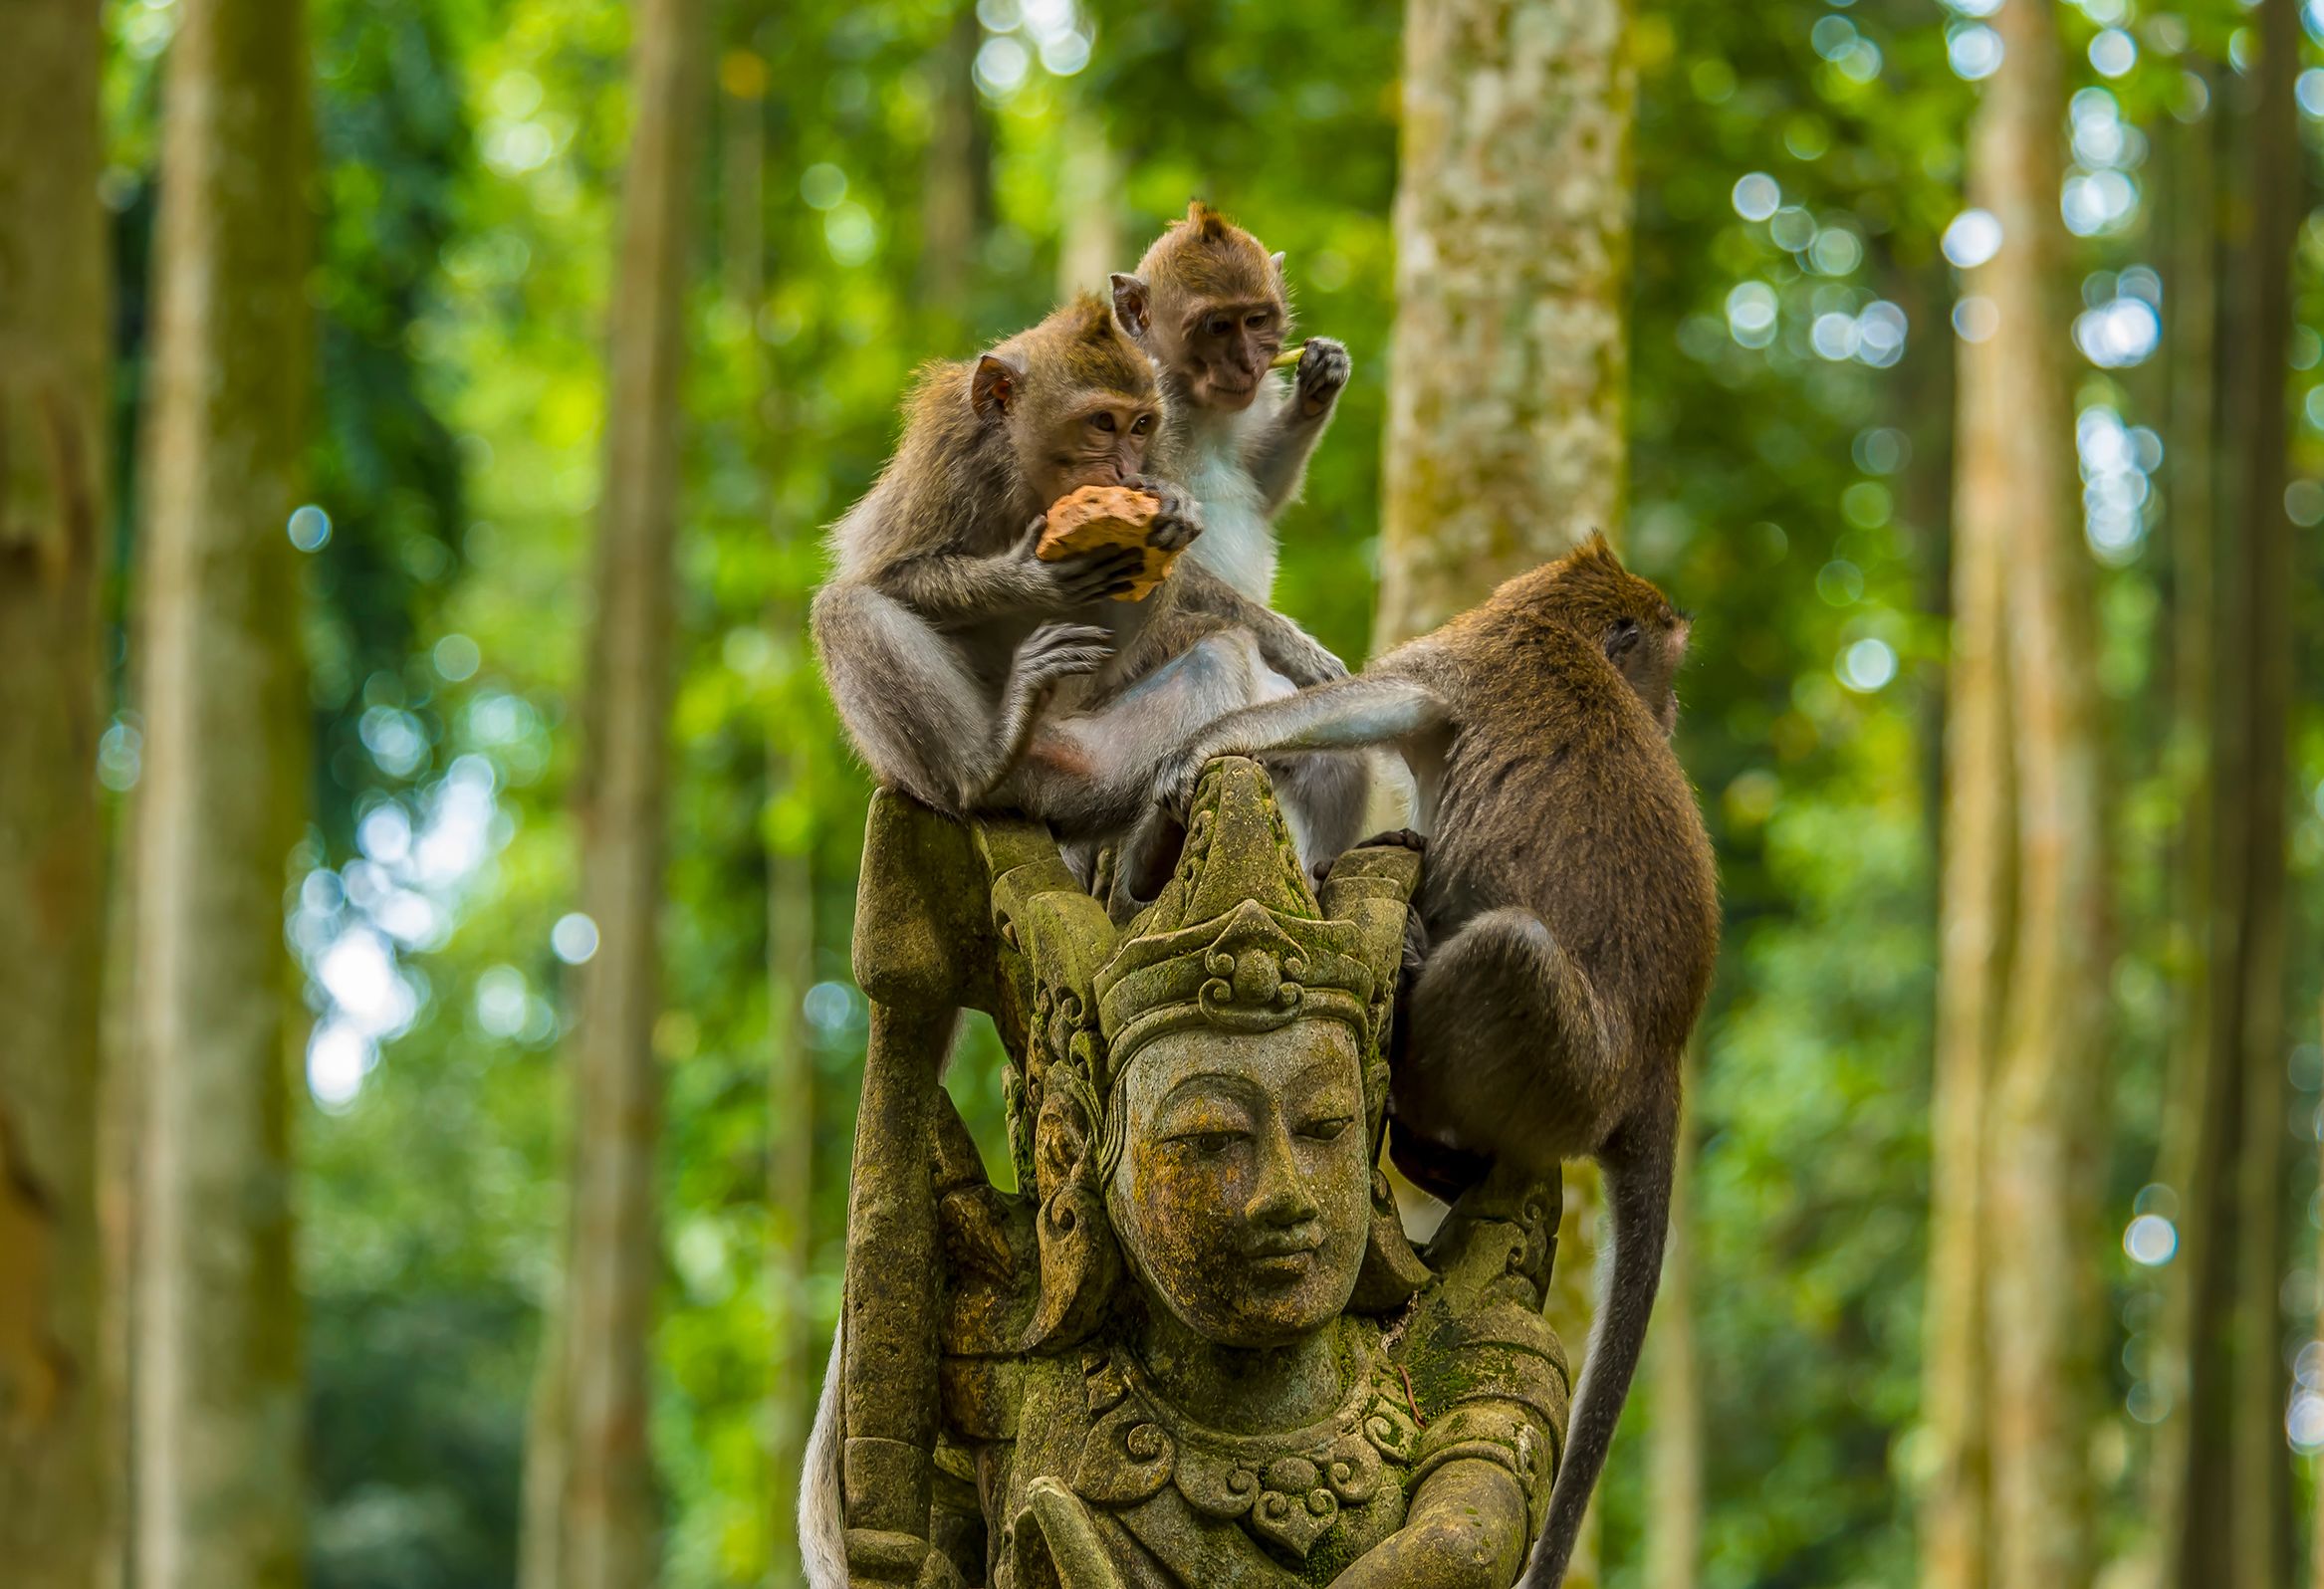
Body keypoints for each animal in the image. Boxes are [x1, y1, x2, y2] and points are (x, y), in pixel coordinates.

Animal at [1146, 535, 1718, 1589]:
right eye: (1665, 668)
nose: (1665, 720)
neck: (1552, 619)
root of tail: (1659, 1065)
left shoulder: (1458, 664)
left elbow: (1366, 702)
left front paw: (1195, 752)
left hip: (1568, 1069)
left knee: (1510, 950)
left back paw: (1417, 1089)